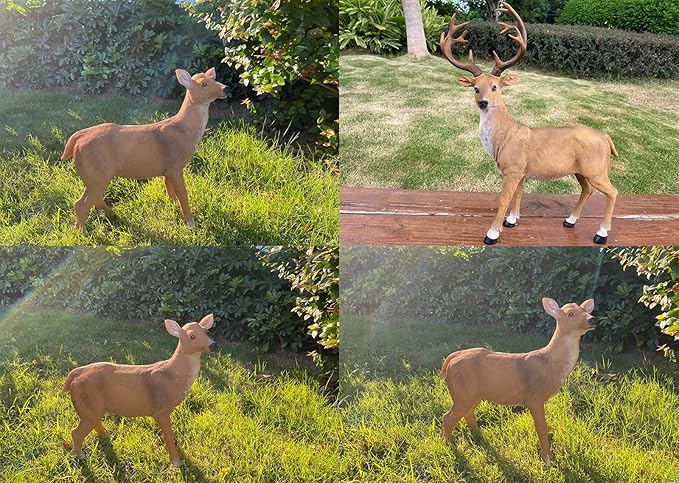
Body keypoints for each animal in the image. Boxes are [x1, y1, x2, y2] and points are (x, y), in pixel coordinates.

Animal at [61, 68, 227, 229]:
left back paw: (112, 214)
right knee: (81, 204)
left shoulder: (167, 169)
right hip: (98, 172)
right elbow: (183, 195)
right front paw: (191, 224)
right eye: (204, 84)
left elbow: (169, 188)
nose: (225, 88)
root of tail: (78, 139)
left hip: (93, 175)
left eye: (213, 79)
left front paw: (172, 205)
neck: (184, 132)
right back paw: (81, 232)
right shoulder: (175, 165)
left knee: (95, 199)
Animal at [63, 314, 216, 468]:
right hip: (87, 402)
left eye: (206, 332)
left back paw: (106, 436)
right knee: (76, 432)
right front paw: (176, 462)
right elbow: (168, 436)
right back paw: (79, 456)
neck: (173, 375)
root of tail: (74, 375)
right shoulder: (160, 410)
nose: (213, 344)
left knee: (94, 422)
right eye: (192, 336)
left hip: (92, 407)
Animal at [440, 2, 618, 246]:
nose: (483, 102)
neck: (503, 137)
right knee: (587, 190)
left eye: (496, 86)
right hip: (582, 170)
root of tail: (606, 138)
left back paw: (601, 234)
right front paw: (511, 221)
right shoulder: (521, 171)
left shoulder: (513, 168)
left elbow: (504, 199)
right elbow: (518, 194)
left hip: (596, 168)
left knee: (613, 191)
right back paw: (570, 220)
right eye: (475, 88)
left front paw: (492, 233)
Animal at [440, 298, 595, 463]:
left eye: (585, 310)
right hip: (462, 393)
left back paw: (478, 436)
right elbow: (541, 428)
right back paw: (449, 445)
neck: (550, 363)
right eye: (570, 313)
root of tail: (451, 359)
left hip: (472, 394)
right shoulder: (534, 398)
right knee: (447, 417)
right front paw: (547, 458)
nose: (592, 319)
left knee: (467, 413)